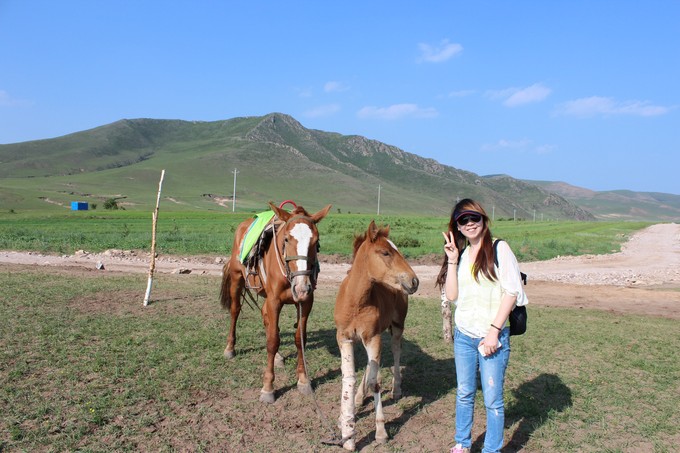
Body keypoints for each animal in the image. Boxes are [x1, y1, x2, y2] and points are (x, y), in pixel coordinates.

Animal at [220, 201, 332, 402]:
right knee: (235, 311)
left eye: (316, 242)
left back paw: (279, 357)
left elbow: (299, 339)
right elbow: (272, 341)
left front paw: (303, 380)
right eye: (286, 239)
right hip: (236, 279)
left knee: (266, 318)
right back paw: (230, 348)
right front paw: (268, 387)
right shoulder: (274, 301)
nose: (302, 287)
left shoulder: (306, 302)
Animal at [334, 220, 420, 448]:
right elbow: (348, 376)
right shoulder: (344, 338)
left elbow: (376, 382)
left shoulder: (373, 337)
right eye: (386, 252)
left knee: (396, 351)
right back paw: (358, 397)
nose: (414, 281)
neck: (356, 302)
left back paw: (396, 389)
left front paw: (381, 431)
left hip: (396, 327)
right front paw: (345, 418)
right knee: (369, 365)